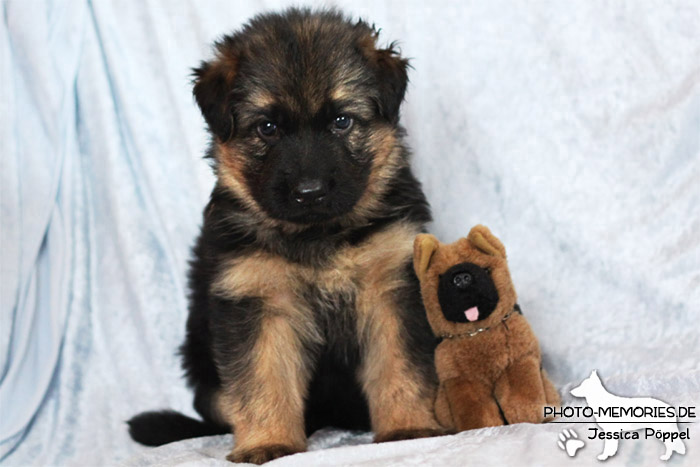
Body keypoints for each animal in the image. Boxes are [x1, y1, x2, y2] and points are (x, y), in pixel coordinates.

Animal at [129, 7, 440, 464]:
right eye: (268, 127)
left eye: (341, 121)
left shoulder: (392, 287)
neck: (317, 236)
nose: (309, 192)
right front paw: (268, 441)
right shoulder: (257, 301)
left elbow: (400, 365)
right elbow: (263, 380)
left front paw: (407, 428)